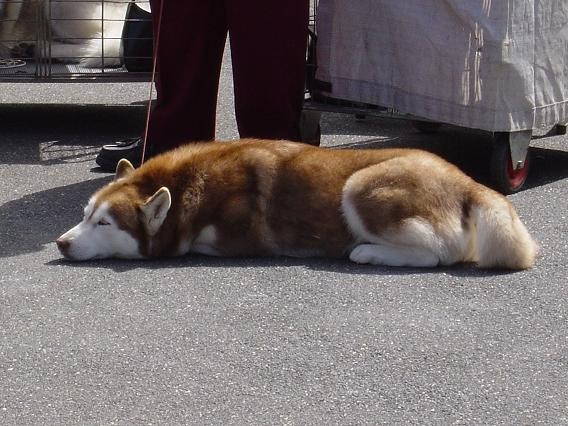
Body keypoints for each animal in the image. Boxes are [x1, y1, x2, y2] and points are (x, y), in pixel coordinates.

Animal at [56, 138, 536, 268]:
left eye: (105, 224)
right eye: (85, 215)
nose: (61, 243)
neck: (193, 181)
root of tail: (468, 181)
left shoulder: (228, 240)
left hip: (359, 185)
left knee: (441, 252)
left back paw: (367, 252)